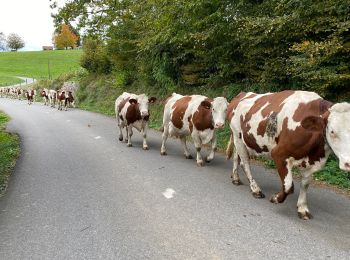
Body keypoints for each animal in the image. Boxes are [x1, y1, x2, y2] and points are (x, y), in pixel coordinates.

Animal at [226, 90, 350, 219]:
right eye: (332, 131)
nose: (348, 163)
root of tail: (242, 94)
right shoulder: (279, 154)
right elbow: (288, 185)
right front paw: (276, 198)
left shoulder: (311, 162)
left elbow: (305, 184)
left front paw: (302, 208)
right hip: (238, 136)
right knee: (245, 163)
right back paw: (255, 189)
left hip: (240, 139)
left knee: (236, 157)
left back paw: (235, 178)